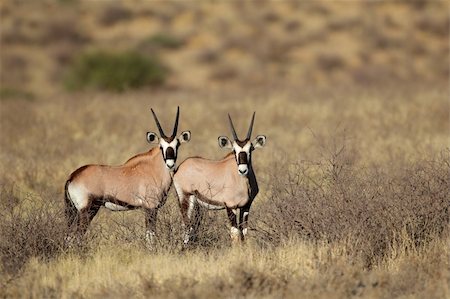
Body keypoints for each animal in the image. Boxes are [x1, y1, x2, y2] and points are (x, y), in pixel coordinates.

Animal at [64, 106, 191, 247]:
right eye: (161, 146)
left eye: (177, 145)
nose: (170, 163)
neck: (153, 168)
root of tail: (73, 176)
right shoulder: (150, 208)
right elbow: (150, 236)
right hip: (87, 210)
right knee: (77, 236)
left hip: (75, 211)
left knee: (69, 236)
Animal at [174, 112, 266, 246]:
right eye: (234, 150)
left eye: (250, 149)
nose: (243, 170)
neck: (243, 182)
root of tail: (180, 167)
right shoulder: (230, 206)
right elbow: (235, 233)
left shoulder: (246, 207)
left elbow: (244, 232)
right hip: (185, 198)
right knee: (186, 225)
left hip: (196, 204)